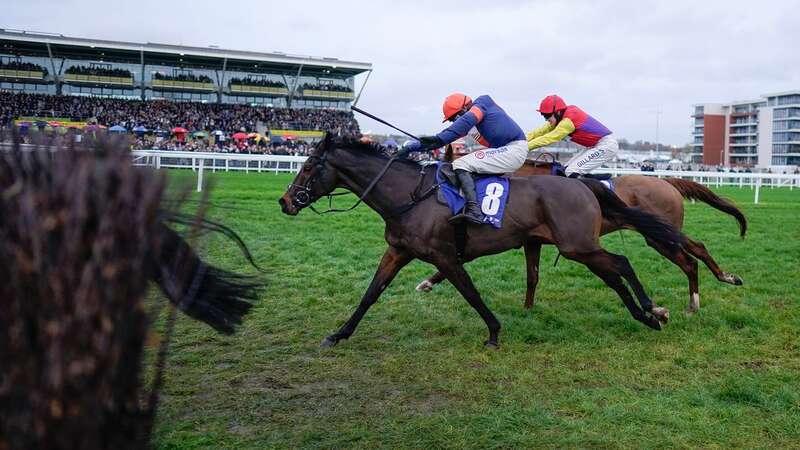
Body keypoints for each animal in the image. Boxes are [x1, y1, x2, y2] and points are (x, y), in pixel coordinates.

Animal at [416, 151, 748, 312]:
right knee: (693, 253)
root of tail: (668, 182)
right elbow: (531, 276)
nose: (443, 186)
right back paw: (705, 293)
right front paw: (527, 308)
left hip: (658, 236)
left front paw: (427, 282)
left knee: (693, 254)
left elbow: (460, 258)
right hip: (658, 235)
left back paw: (710, 289)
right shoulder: (530, 240)